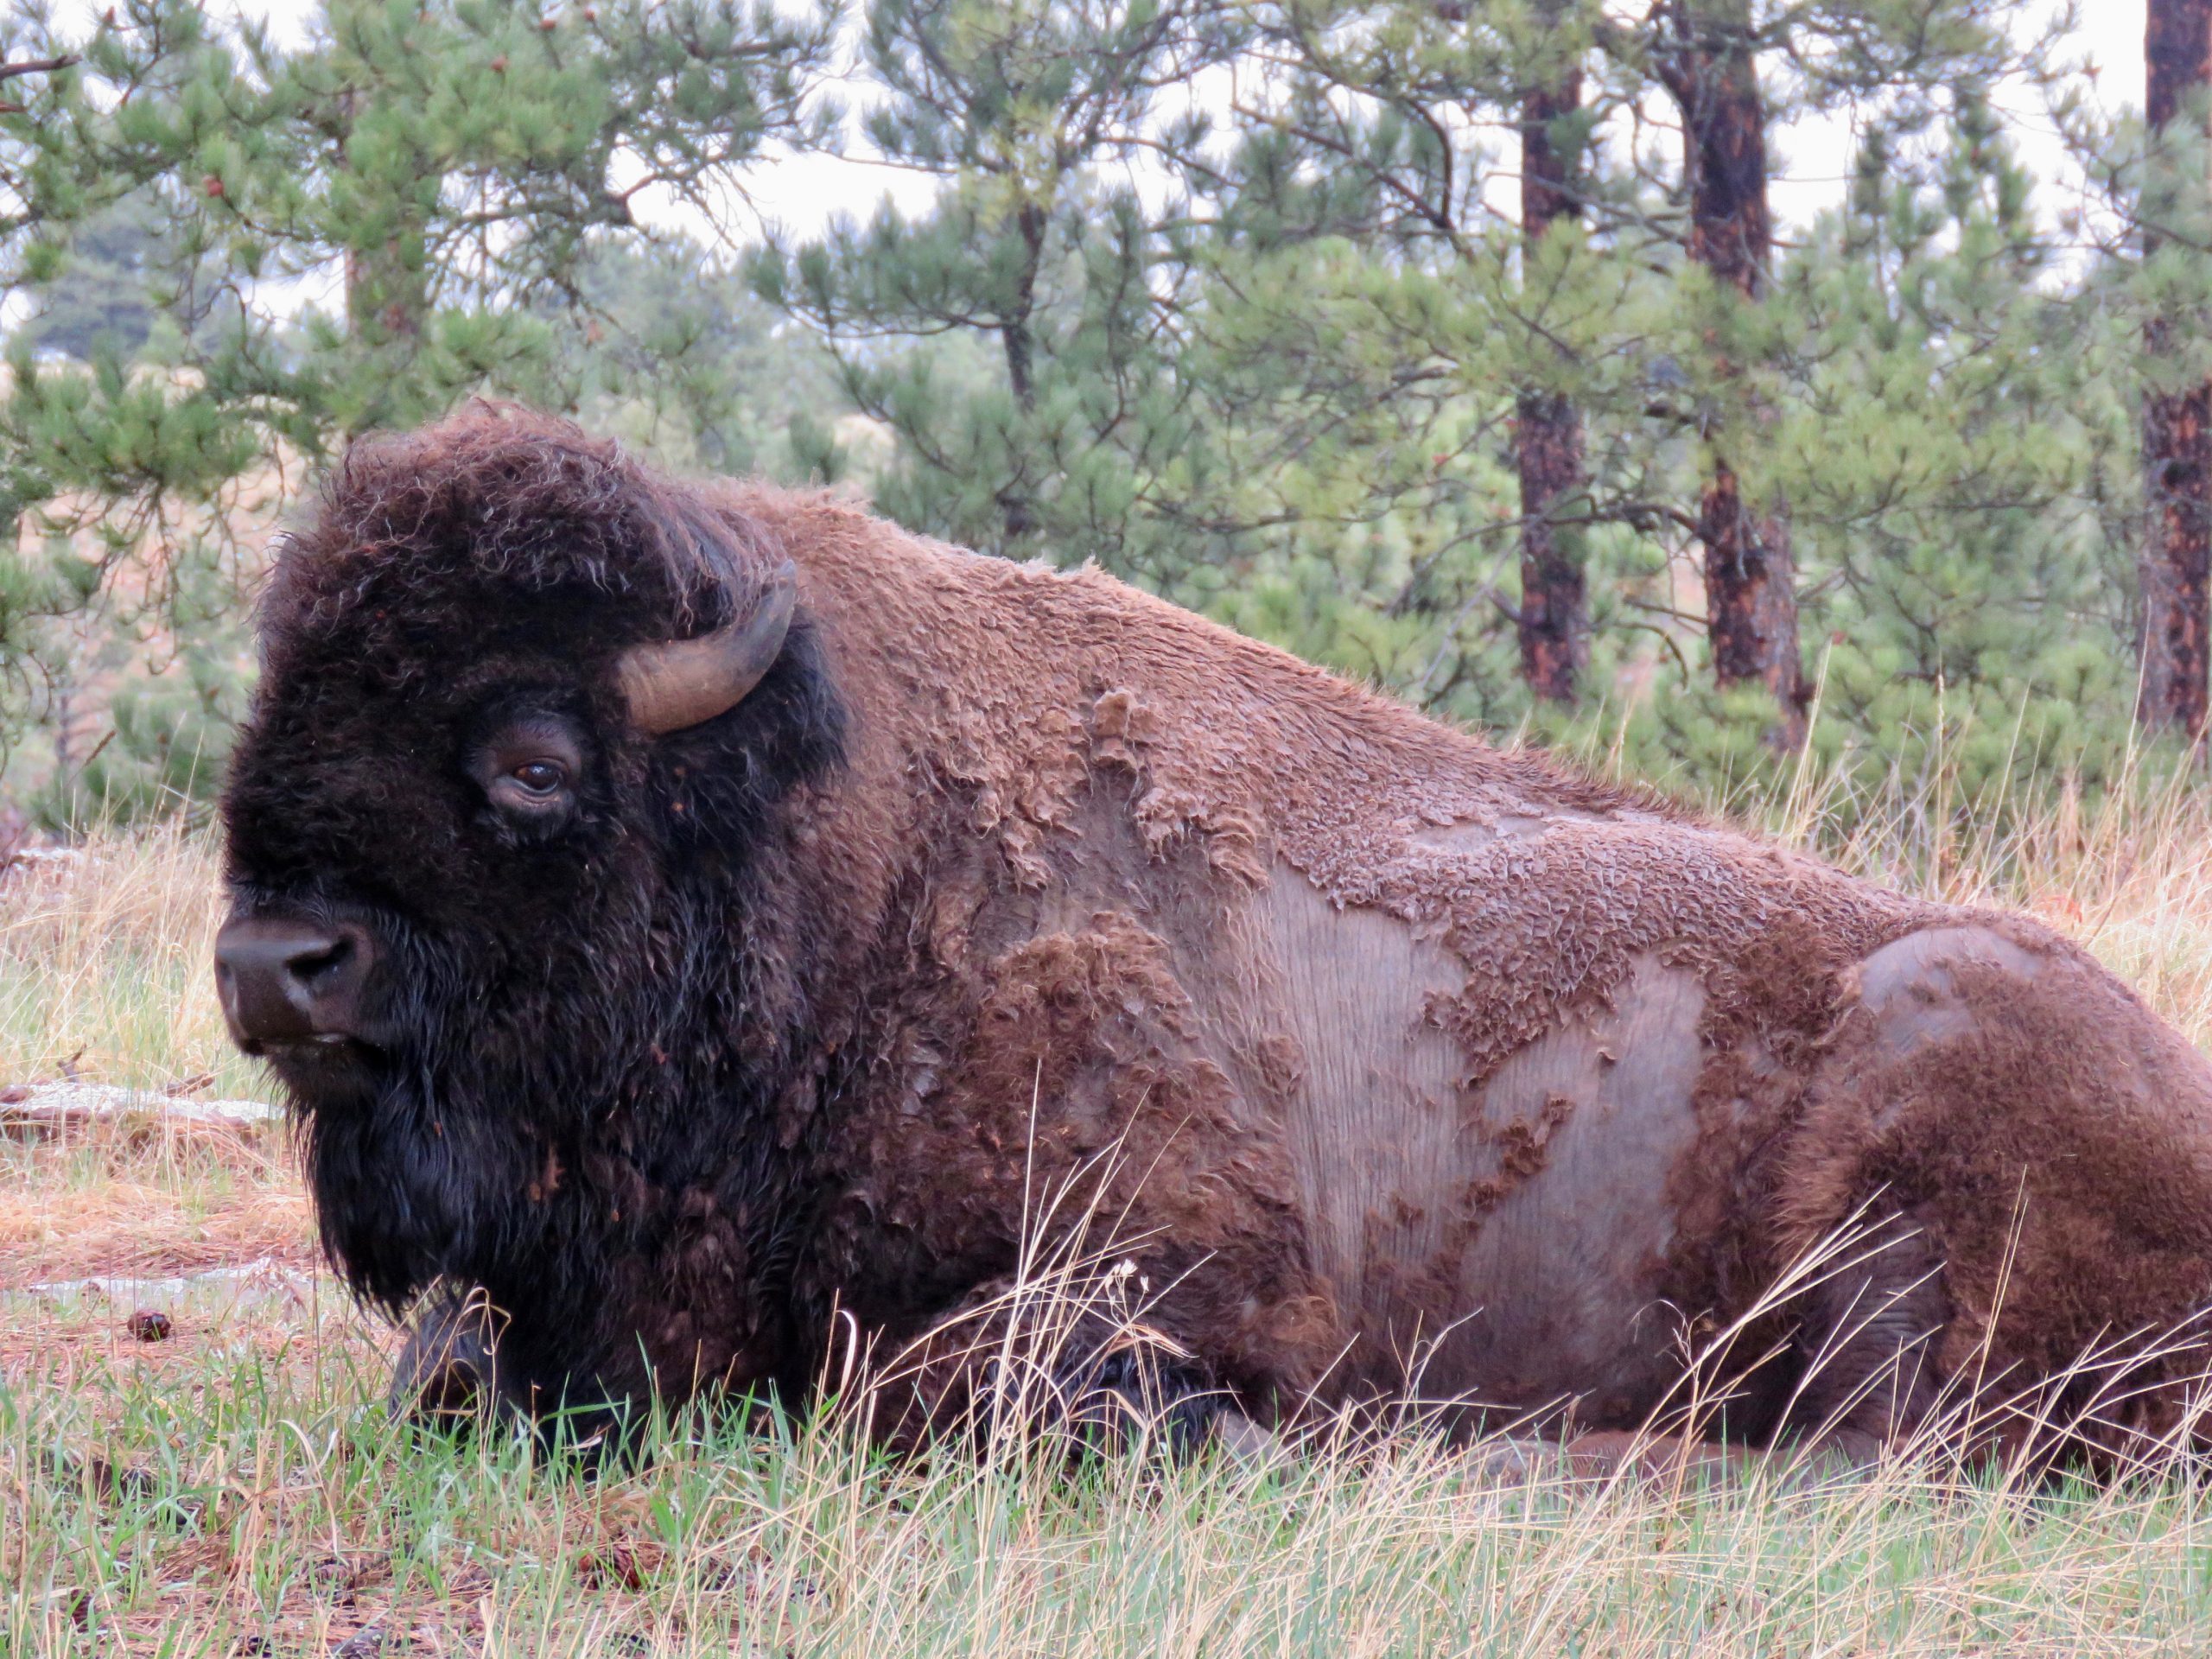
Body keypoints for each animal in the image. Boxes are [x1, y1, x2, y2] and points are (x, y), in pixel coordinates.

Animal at [215, 404, 2212, 1473]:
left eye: (532, 761)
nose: (272, 967)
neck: (843, 852)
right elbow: (442, 1371)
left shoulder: (1174, 1267)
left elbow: (923, 1384)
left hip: (1918, 1108)